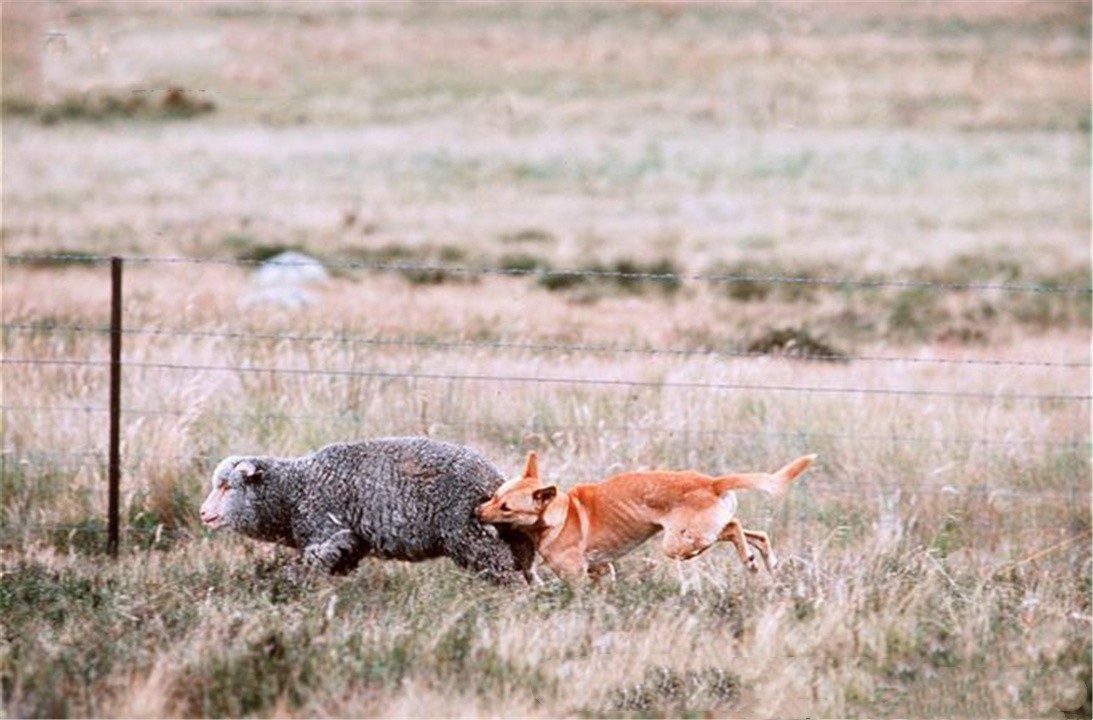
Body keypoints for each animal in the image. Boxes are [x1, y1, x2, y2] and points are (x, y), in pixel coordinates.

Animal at [201, 437, 537, 581]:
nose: (203, 513)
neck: (294, 491)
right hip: (507, 540)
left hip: (474, 538)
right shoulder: (349, 543)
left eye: (227, 487)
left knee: (506, 574)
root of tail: (494, 479)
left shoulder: (325, 534)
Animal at [474, 454, 817, 581]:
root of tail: (710, 482)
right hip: (697, 536)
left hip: (678, 543)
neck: (559, 513)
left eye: (506, 508)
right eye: (494, 496)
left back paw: (750, 560)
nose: (477, 511)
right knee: (757, 534)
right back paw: (766, 561)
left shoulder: (576, 577)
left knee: (733, 528)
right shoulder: (603, 571)